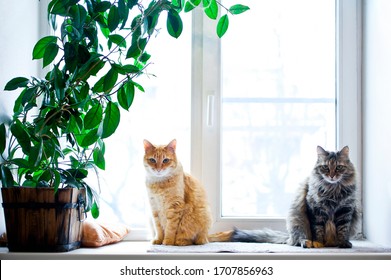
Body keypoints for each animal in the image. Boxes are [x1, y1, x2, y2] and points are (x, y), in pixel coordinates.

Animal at [211, 145, 362, 248]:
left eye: (338, 167)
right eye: (325, 167)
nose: (331, 176)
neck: (333, 190)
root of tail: (289, 237)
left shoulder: (346, 210)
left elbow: (343, 229)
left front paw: (343, 243)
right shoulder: (315, 209)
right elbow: (317, 230)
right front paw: (318, 243)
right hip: (297, 220)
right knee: (298, 239)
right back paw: (307, 243)